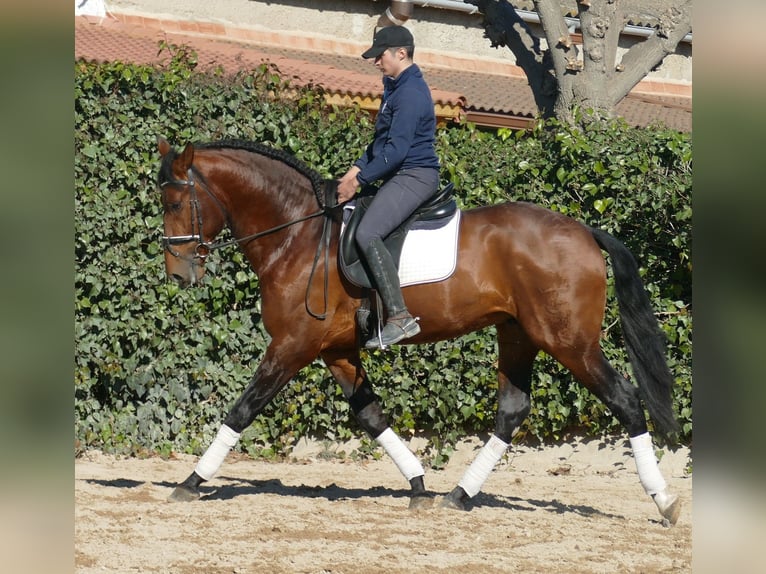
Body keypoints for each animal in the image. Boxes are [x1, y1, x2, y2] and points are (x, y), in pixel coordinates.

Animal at [156, 136, 682, 525]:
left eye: (176, 201)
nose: (177, 274)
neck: (298, 236)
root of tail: (584, 231)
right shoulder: (336, 351)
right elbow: (371, 417)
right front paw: (418, 484)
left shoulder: (291, 346)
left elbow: (242, 409)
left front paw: (191, 481)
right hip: (518, 335)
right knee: (512, 411)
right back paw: (460, 494)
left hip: (569, 342)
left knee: (624, 400)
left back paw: (663, 501)